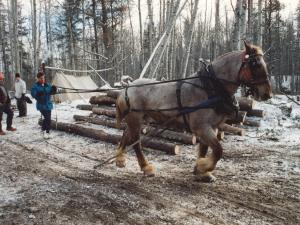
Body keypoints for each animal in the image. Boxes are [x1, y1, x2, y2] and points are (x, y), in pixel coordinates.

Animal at [114, 42, 272, 182]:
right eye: (256, 64)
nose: (267, 94)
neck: (210, 88)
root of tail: (127, 88)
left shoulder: (212, 127)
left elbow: (205, 149)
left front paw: (202, 172)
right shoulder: (201, 127)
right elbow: (218, 150)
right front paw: (202, 167)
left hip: (139, 119)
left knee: (126, 134)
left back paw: (120, 159)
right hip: (136, 119)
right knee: (136, 143)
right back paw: (146, 167)